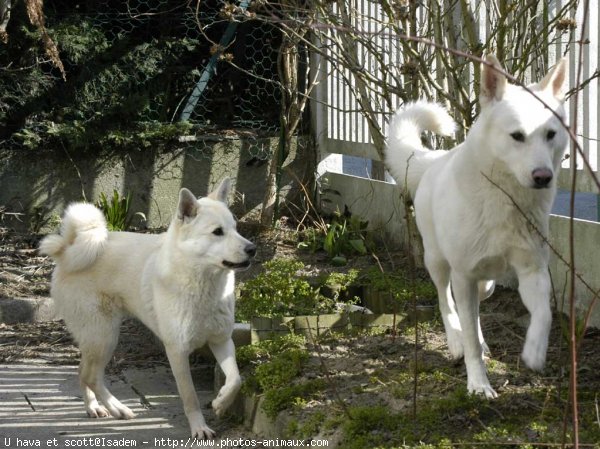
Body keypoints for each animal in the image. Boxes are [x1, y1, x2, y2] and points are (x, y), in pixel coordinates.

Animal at [39, 178, 255, 438]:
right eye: (217, 232)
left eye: (235, 227)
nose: (252, 248)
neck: (202, 282)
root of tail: (67, 249)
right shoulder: (177, 351)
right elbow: (190, 397)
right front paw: (199, 427)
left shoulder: (221, 340)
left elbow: (236, 379)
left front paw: (221, 402)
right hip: (104, 336)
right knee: (91, 376)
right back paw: (117, 408)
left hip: (96, 339)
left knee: (83, 372)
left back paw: (94, 408)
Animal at [384, 55, 568, 396]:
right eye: (517, 136)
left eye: (550, 134)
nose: (543, 177)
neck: (505, 199)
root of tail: (435, 159)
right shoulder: (463, 273)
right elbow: (467, 331)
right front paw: (479, 383)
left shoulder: (532, 270)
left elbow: (545, 315)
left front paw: (534, 352)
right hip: (437, 261)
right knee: (446, 301)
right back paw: (455, 340)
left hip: (481, 280)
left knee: (480, 299)